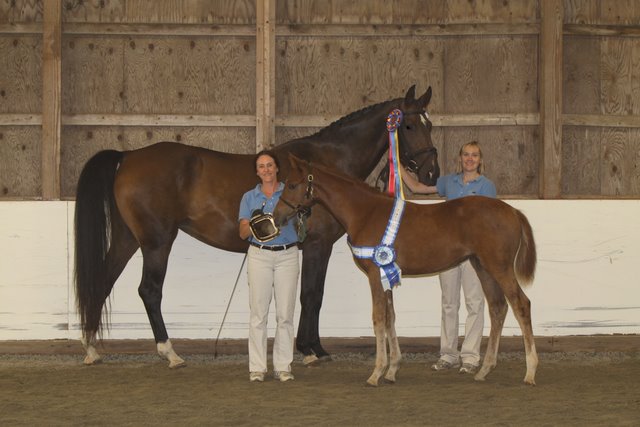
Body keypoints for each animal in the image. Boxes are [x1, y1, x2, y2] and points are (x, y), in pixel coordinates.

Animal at [74, 85, 440, 367]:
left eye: (430, 124)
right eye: (408, 126)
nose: (431, 173)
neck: (323, 166)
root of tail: (127, 156)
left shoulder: (316, 246)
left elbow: (314, 295)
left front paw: (314, 348)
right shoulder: (318, 245)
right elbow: (311, 294)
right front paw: (310, 350)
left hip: (128, 239)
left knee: (103, 280)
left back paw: (91, 348)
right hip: (156, 241)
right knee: (149, 290)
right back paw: (170, 353)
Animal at [273, 154, 538, 385]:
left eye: (292, 184)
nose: (277, 217)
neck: (365, 212)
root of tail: (513, 211)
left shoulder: (375, 275)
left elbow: (379, 318)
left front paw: (376, 373)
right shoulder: (385, 275)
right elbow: (391, 317)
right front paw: (392, 371)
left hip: (499, 268)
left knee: (522, 305)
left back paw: (530, 371)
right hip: (482, 267)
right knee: (498, 308)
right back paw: (484, 370)